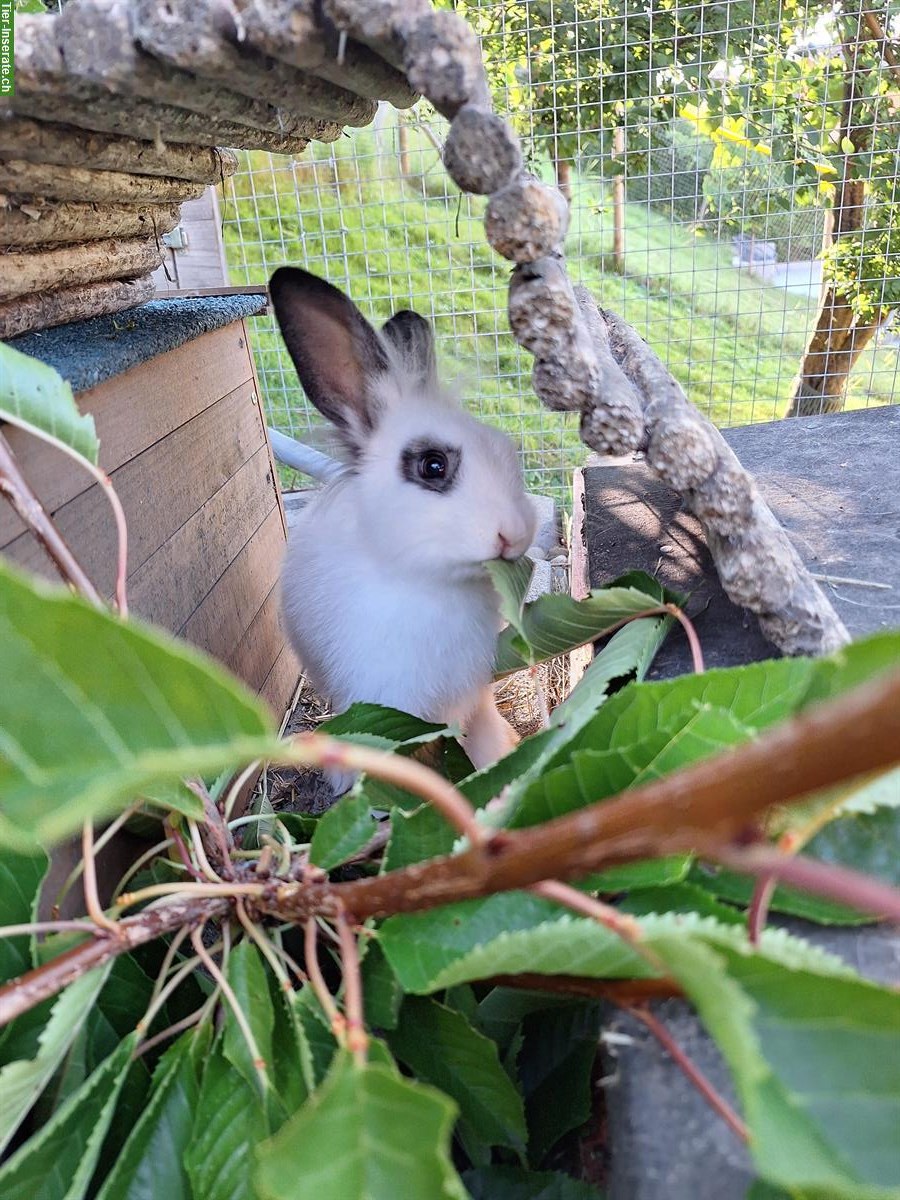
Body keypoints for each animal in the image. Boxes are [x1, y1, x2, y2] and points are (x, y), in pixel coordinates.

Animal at [269, 267, 537, 774]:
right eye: (433, 465)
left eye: (506, 446)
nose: (516, 533)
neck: (426, 584)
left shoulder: (472, 693)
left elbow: (481, 730)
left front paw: (496, 760)